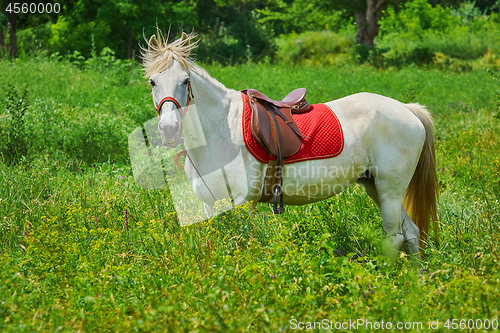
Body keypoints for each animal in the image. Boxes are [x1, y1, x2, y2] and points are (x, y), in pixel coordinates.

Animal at [141, 31, 438, 260]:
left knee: (394, 238)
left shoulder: (242, 202)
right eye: (153, 82)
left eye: (185, 81)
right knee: (411, 234)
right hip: (375, 186)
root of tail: (409, 110)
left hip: (390, 191)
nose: (169, 129)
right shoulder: (210, 204)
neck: (220, 131)